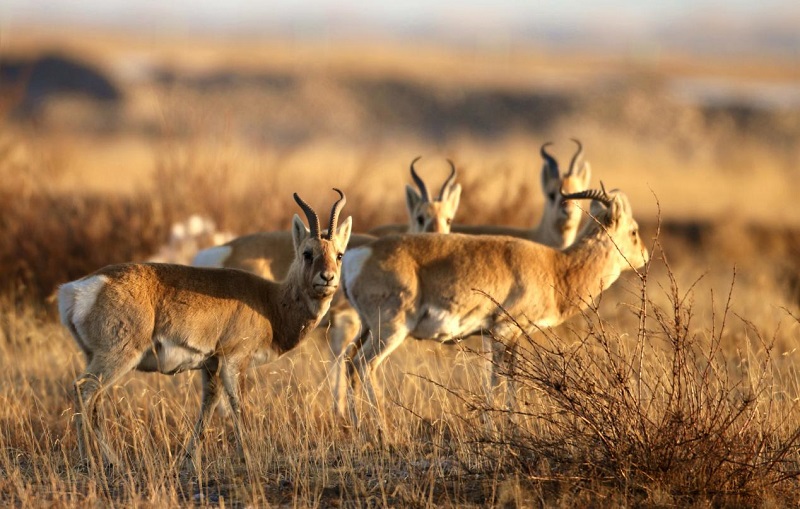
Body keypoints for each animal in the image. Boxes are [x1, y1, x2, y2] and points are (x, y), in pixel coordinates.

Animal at [57, 190, 352, 468]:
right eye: (307, 253)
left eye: (339, 254)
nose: (327, 278)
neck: (269, 302)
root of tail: (77, 289)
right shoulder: (234, 360)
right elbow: (237, 405)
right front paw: (249, 458)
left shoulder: (211, 365)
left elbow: (208, 407)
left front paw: (190, 459)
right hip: (118, 358)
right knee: (83, 390)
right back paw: (89, 461)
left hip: (98, 359)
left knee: (95, 401)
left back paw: (112, 461)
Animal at [344, 185, 648, 426]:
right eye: (634, 231)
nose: (645, 256)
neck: (555, 267)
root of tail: (358, 254)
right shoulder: (503, 331)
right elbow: (498, 379)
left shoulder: (504, 336)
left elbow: (506, 379)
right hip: (390, 332)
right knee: (364, 365)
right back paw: (384, 433)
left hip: (367, 329)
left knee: (349, 362)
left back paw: (360, 430)